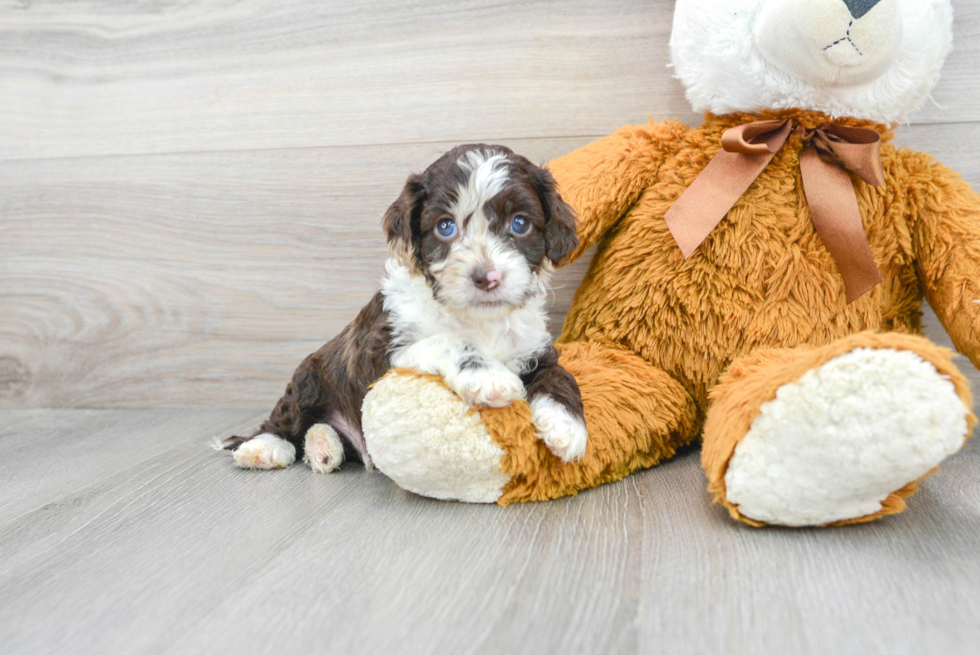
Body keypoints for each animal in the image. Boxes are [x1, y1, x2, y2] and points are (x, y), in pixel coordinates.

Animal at [222, 145, 584, 472]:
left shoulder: (533, 346)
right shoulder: (380, 355)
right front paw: (488, 377)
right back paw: (265, 448)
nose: (487, 277)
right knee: (285, 420)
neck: (479, 320)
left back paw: (324, 446)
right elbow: (448, 340)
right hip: (309, 376)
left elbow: (559, 375)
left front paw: (568, 428)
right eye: (445, 226)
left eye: (520, 224)